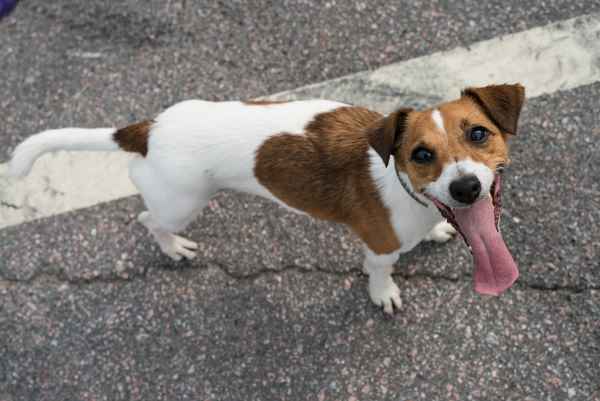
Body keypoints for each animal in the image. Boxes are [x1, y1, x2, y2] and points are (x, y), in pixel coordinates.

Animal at [9, 83, 524, 312]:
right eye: (421, 154)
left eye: (479, 133)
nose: (465, 188)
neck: (403, 186)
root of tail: (146, 129)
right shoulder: (378, 249)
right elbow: (380, 273)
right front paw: (384, 294)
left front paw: (436, 232)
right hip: (181, 204)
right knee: (148, 221)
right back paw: (174, 248)